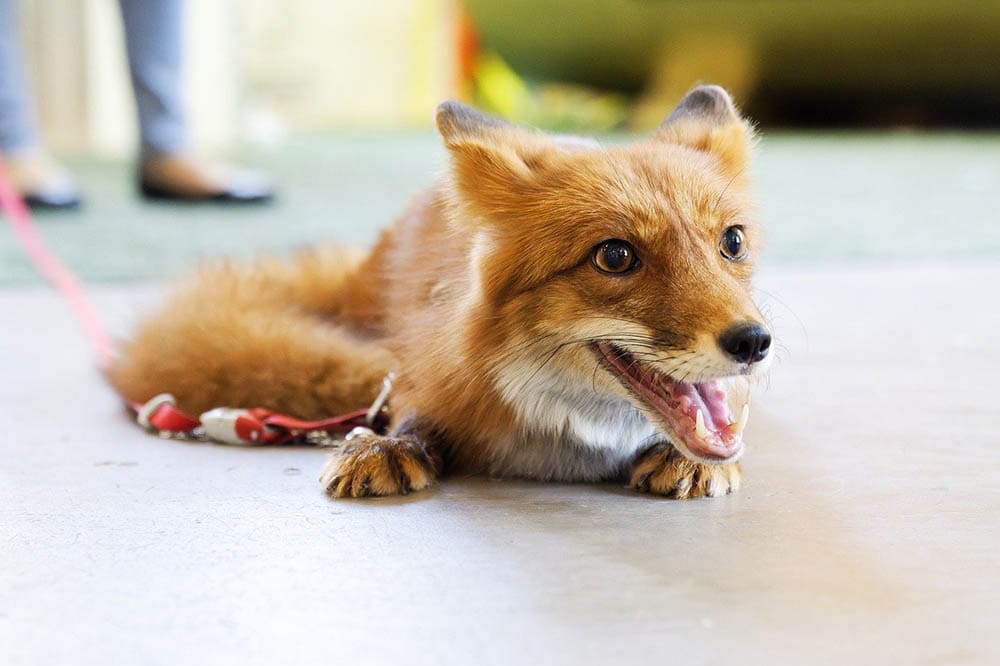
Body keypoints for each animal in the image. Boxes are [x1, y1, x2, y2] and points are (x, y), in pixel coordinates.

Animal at [109, 84, 773, 500]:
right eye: (615, 256)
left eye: (732, 242)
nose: (753, 342)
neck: (562, 445)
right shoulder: (424, 375)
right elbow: (411, 413)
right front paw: (385, 445)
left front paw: (688, 458)